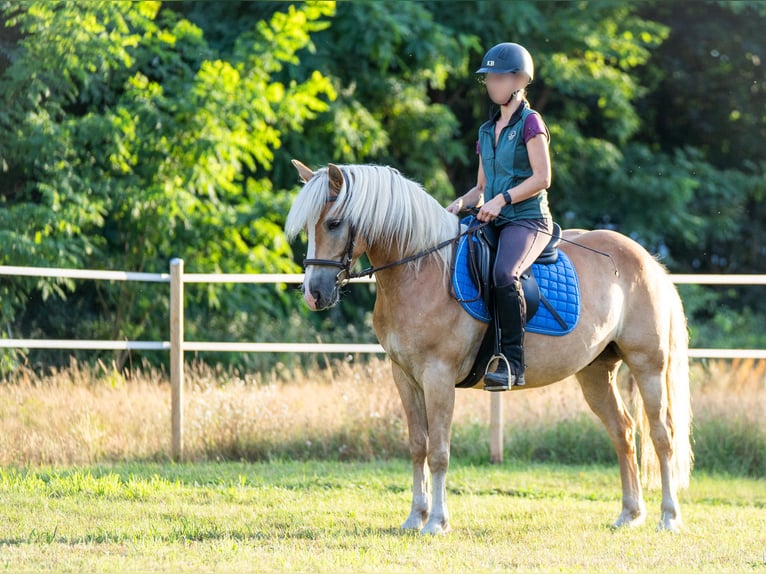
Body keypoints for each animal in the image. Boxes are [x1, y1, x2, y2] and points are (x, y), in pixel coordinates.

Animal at [284, 161, 692, 536]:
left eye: (334, 223)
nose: (314, 294)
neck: (421, 269)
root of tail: (648, 261)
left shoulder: (438, 377)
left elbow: (439, 452)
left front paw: (436, 522)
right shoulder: (405, 377)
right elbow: (417, 445)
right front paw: (414, 517)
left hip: (648, 366)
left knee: (662, 436)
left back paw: (669, 517)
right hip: (595, 373)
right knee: (623, 432)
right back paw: (629, 514)